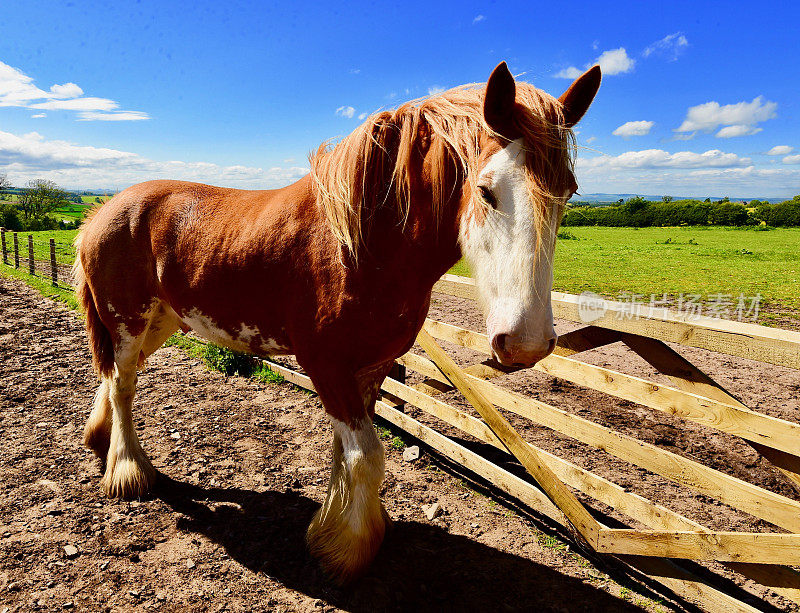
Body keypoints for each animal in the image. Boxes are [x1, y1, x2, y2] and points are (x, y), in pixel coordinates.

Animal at [73, 63, 600, 584]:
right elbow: (366, 455)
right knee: (123, 385)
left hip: (160, 322)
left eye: (569, 192)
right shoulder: (325, 365)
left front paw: (336, 526)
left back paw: (99, 439)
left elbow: (345, 452)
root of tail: (103, 210)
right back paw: (129, 471)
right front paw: (346, 551)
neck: (366, 245)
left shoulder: (371, 367)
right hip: (127, 321)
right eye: (487, 190)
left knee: (115, 378)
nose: (526, 343)